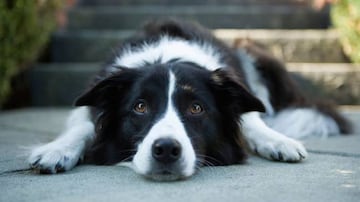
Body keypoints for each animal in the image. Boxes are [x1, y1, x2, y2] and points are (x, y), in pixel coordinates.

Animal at [28, 19, 352, 181]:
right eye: (140, 107)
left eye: (197, 108)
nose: (166, 151)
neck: (167, 55)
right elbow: (84, 125)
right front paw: (56, 150)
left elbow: (251, 120)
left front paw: (277, 141)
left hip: (251, 49)